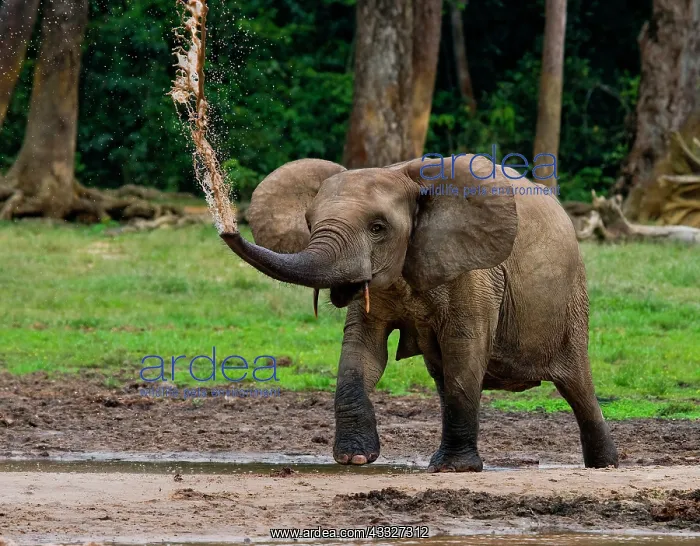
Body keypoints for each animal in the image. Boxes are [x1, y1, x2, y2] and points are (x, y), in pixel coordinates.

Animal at [220, 155, 619, 472]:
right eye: (308, 221)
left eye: (378, 228)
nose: (227, 227)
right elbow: (362, 351)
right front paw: (354, 459)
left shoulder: (475, 272)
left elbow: (465, 347)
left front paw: (454, 470)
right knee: (442, 375)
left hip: (572, 298)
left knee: (576, 383)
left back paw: (605, 465)